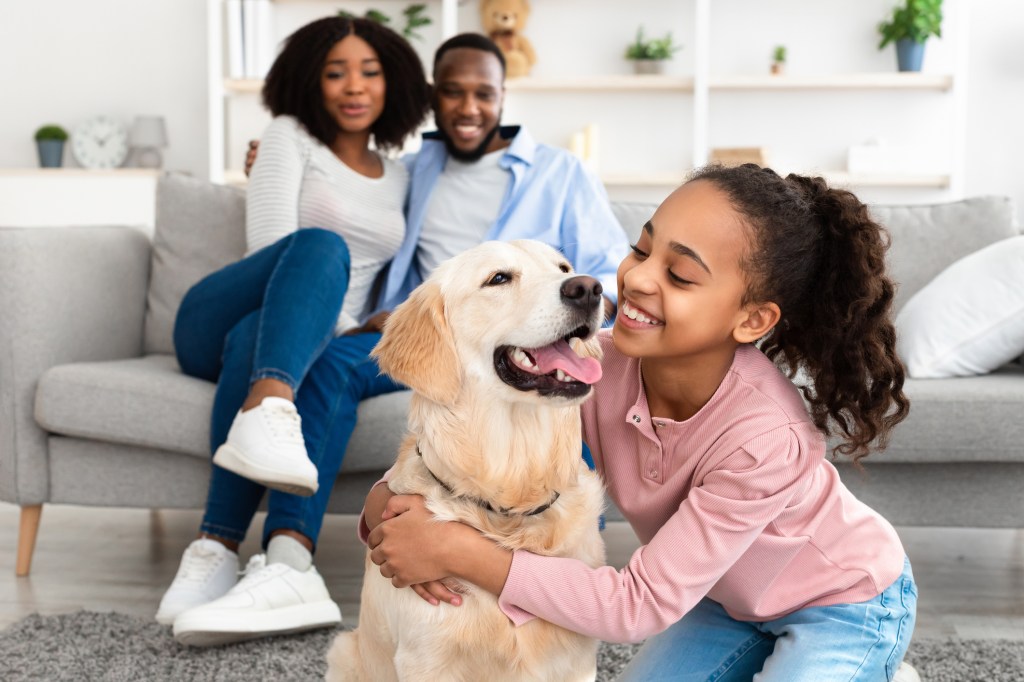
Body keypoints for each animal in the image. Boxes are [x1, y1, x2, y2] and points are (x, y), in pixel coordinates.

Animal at [323, 238, 606, 679]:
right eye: (499, 278)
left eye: (563, 267)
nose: (589, 289)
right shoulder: (425, 659)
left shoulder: (576, 661)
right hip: (343, 652)